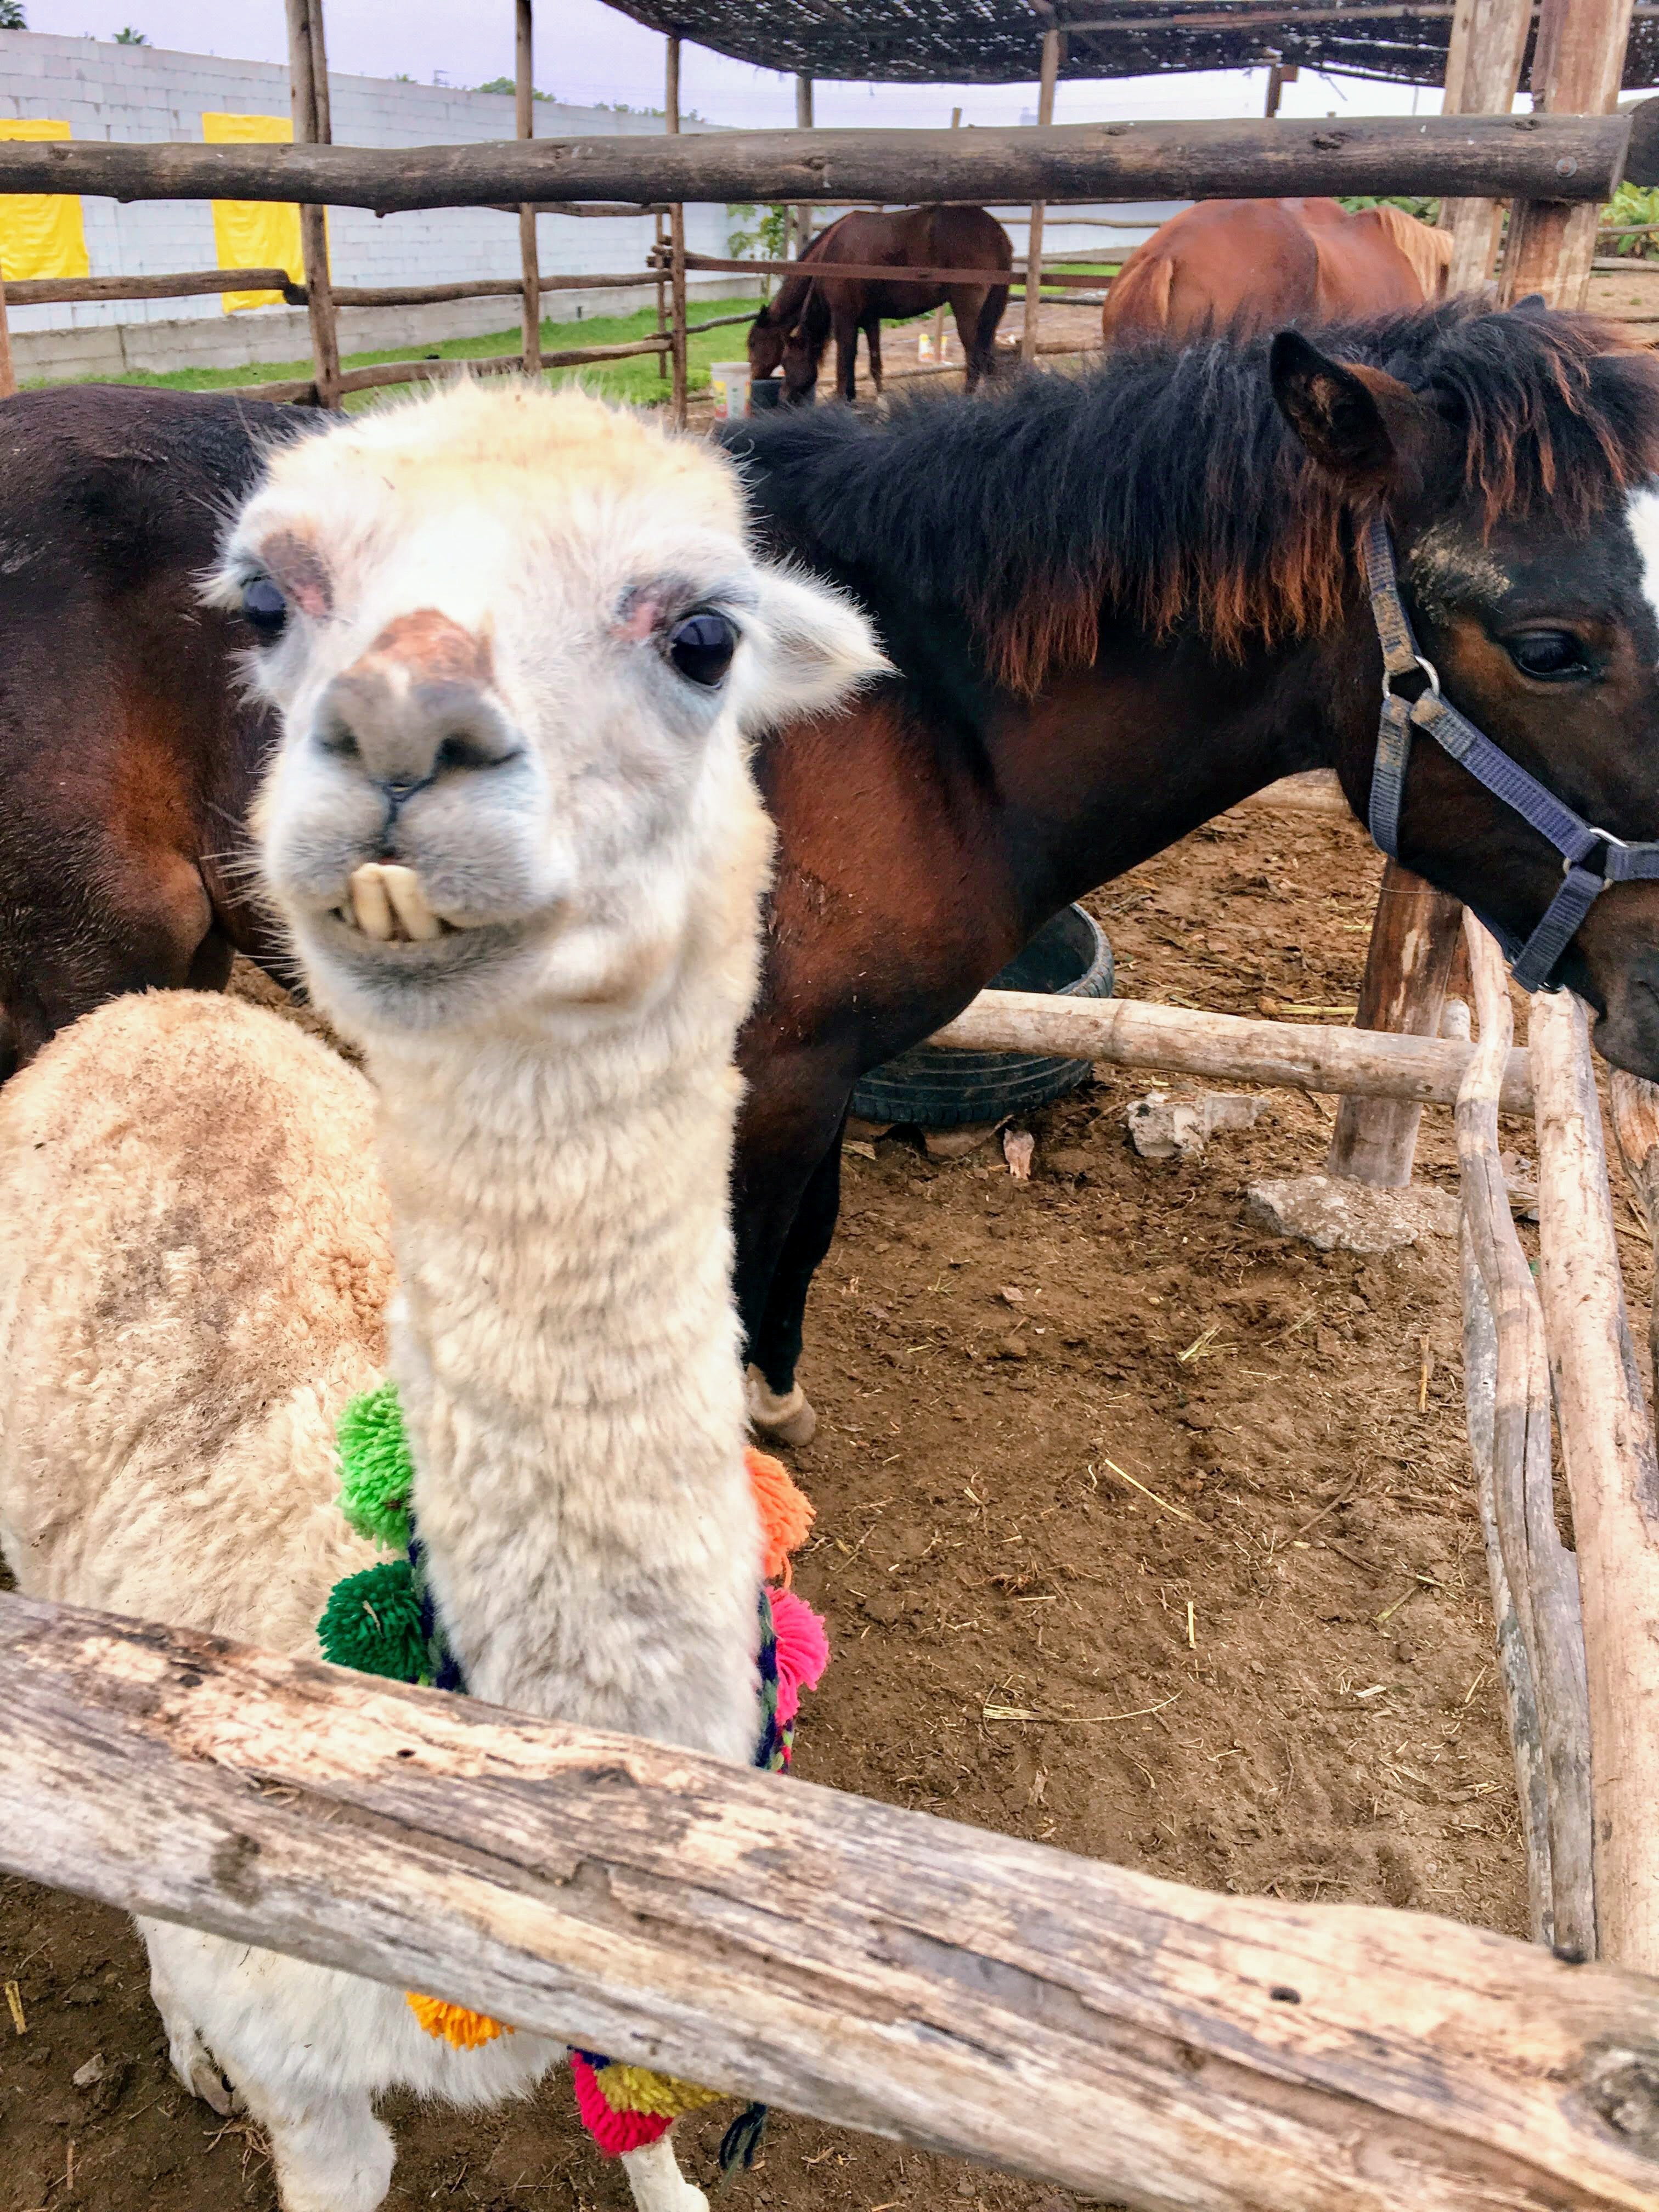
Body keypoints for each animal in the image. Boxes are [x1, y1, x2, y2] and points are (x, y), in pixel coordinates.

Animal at [3, 303, 1659, 1460]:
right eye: (1551, 643)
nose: (1657, 995)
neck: (907, 713)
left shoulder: (825, 1068)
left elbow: (804, 1244)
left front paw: (777, 1407)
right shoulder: (764, 1076)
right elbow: (738, 1269)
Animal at [752, 203, 1013, 402]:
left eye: (756, 345)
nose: (783, 397)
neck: (829, 256)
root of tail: (997, 232)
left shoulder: (844, 317)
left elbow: (845, 358)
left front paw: (842, 398)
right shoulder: (870, 319)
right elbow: (873, 362)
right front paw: (873, 397)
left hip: (967, 312)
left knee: (976, 357)